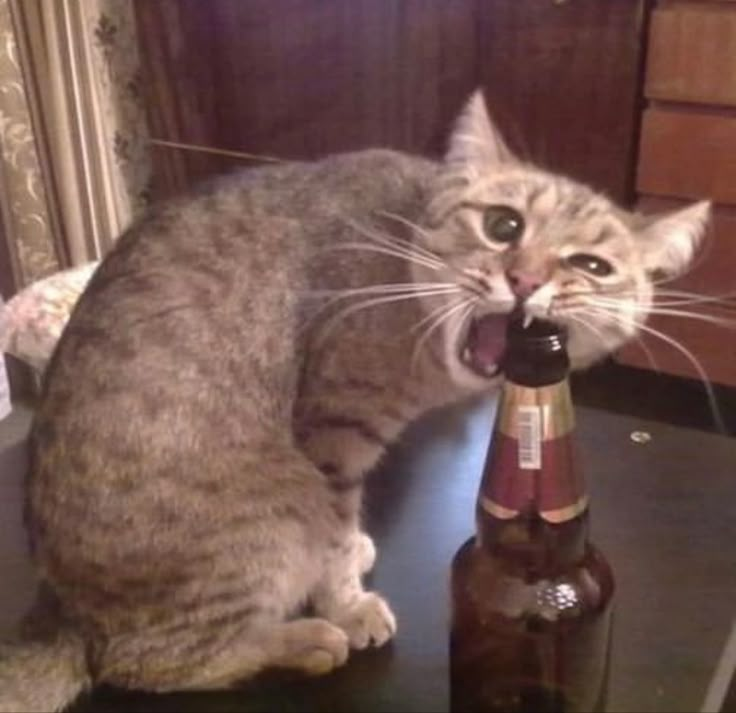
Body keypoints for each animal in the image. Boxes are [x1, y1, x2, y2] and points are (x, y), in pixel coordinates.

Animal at [0, 92, 712, 708]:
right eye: (503, 224)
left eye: (592, 266)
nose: (525, 279)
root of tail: (61, 614)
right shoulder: (335, 435)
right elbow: (335, 536)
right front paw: (346, 602)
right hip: (270, 516)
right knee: (145, 663)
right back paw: (305, 639)